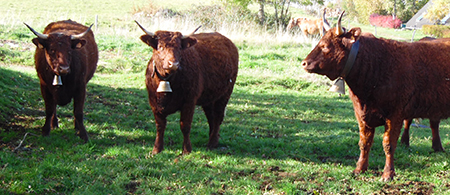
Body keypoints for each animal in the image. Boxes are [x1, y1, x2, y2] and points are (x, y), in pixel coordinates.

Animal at [134, 21, 237, 155]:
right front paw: (157, 149)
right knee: (211, 118)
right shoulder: (154, 103)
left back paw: (212, 142)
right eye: (160, 47)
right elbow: (160, 126)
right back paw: (213, 139)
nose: (173, 64)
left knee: (218, 116)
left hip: (224, 94)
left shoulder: (189, 102)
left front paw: (187, 150)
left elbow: (185, 126)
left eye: (179, 48)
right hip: (209, 98)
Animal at [300, 11, 450, 181]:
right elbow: (364, 143)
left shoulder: (395, 115)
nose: (304, 63)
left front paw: (388, 173)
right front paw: (359, 168)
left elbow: (388, 144)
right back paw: (435, 147)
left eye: (325, 46)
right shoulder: (361, 115)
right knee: (432, 123)